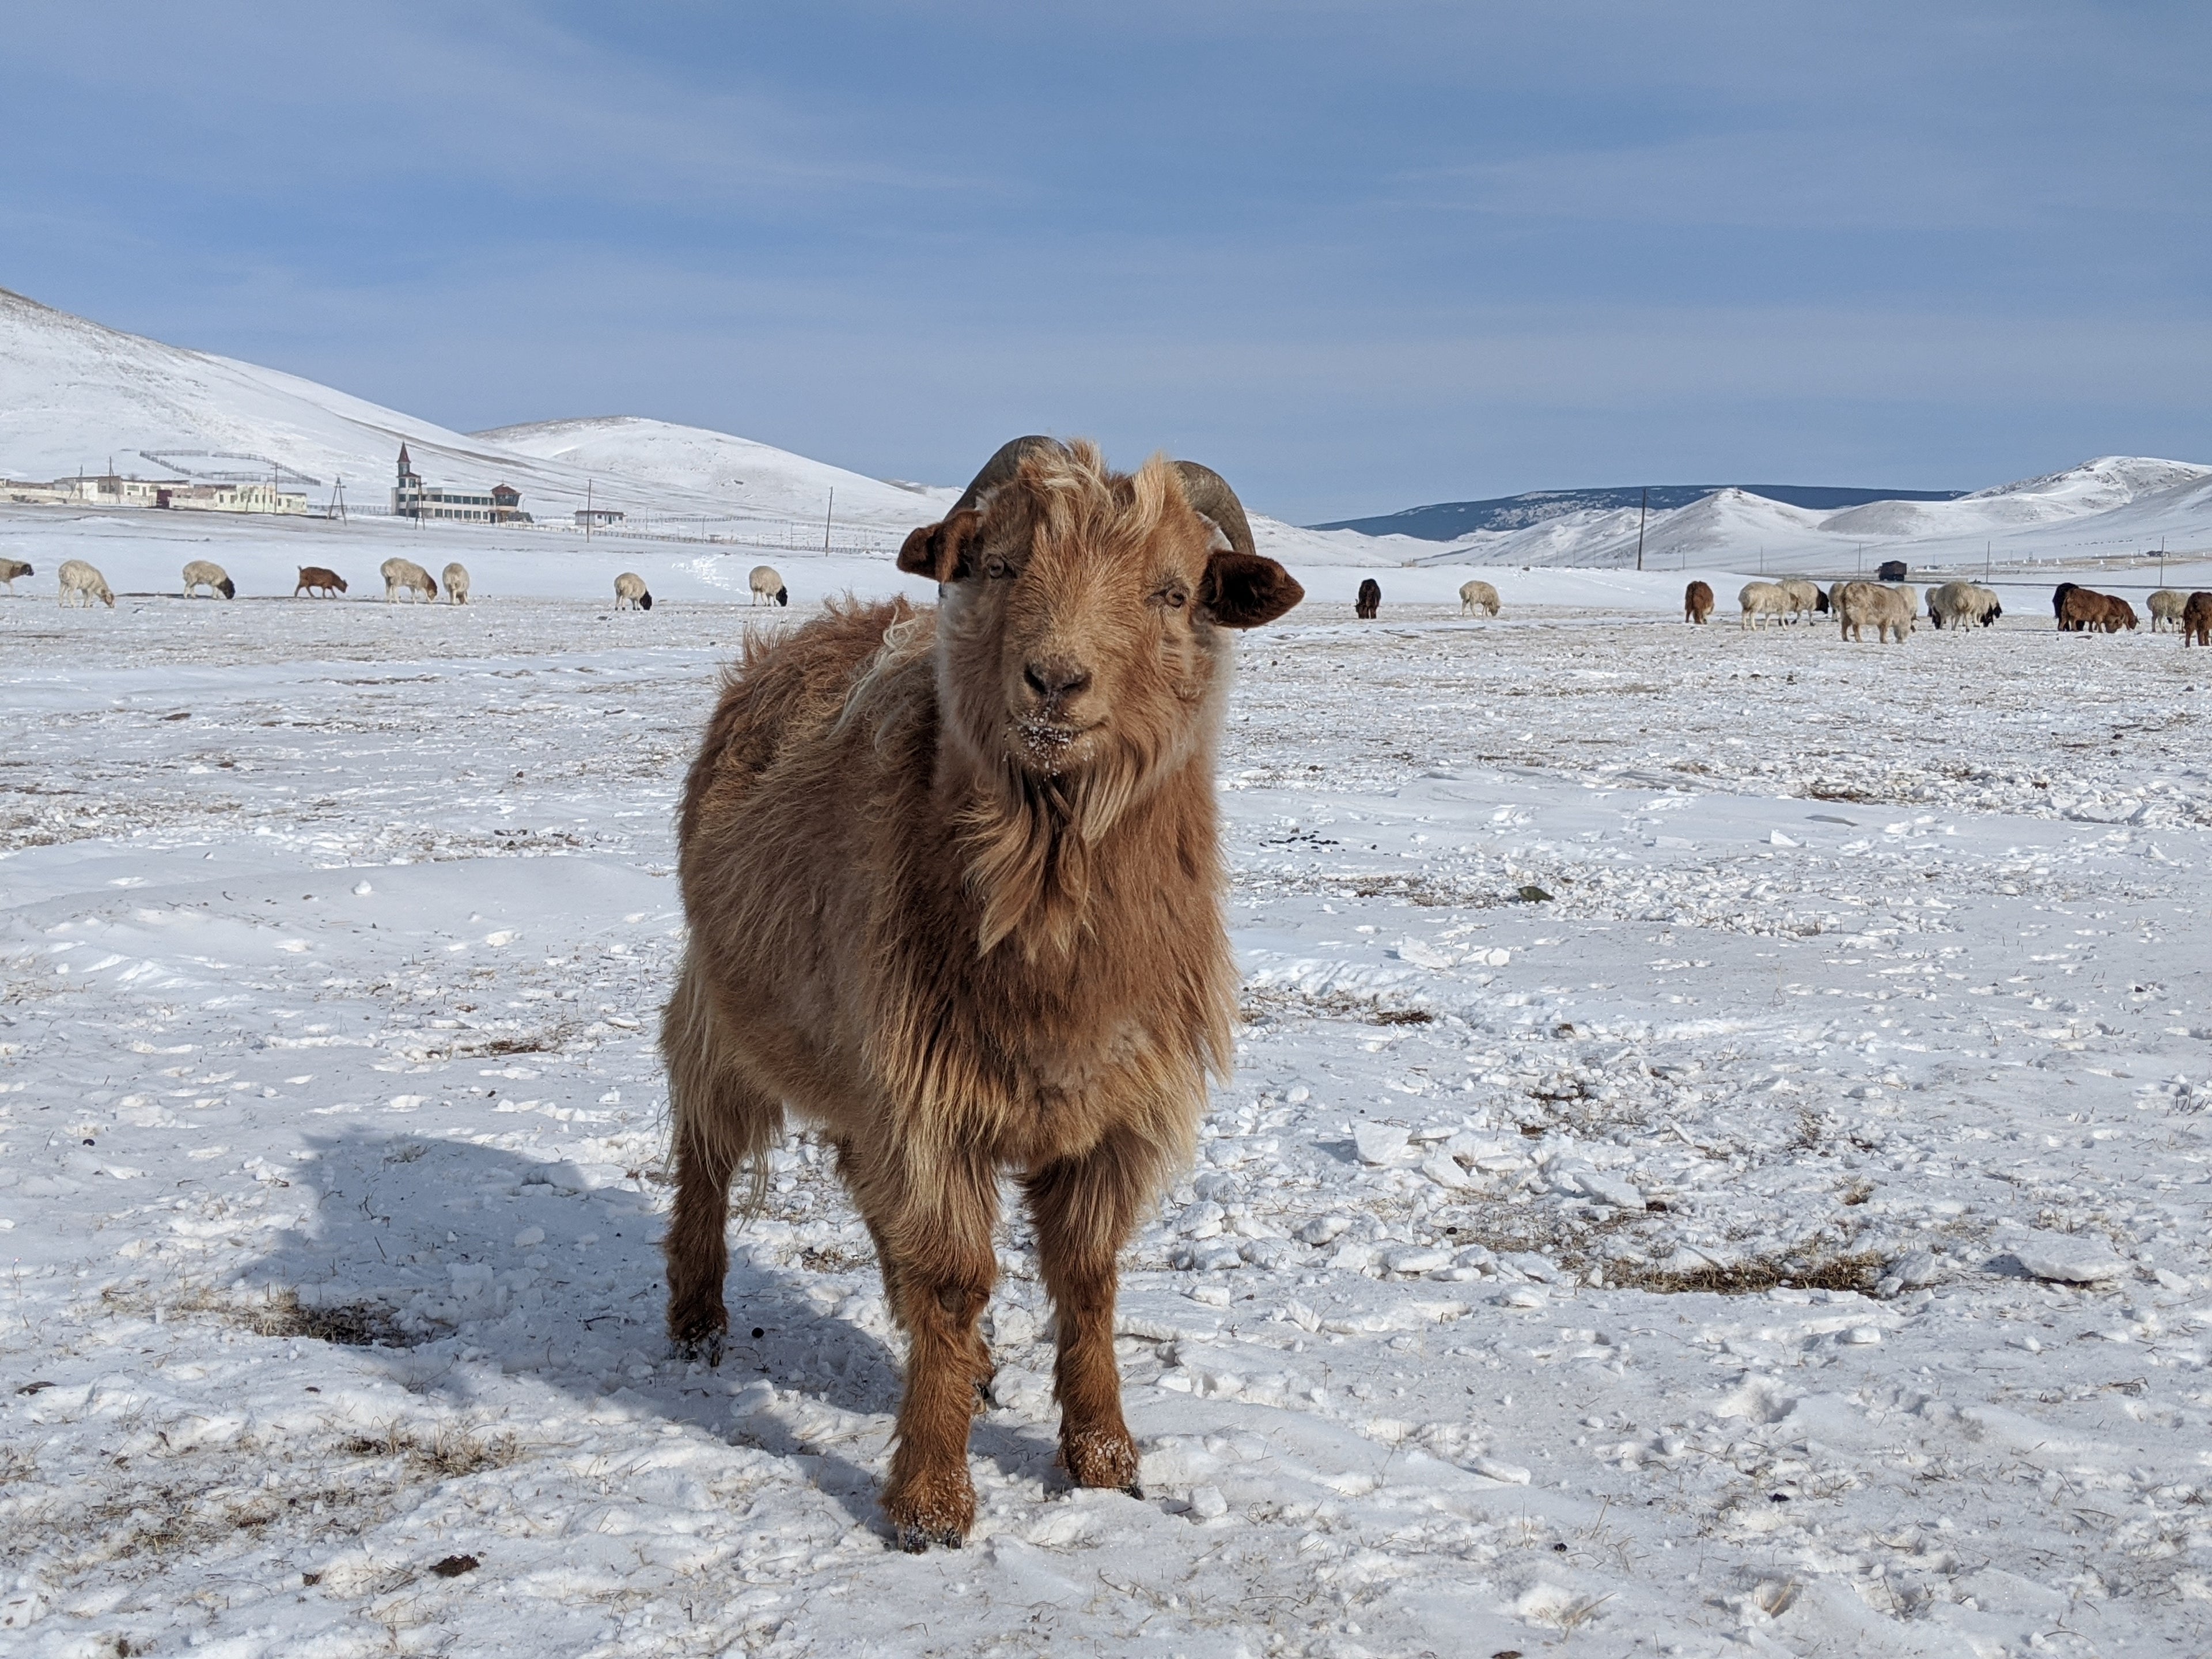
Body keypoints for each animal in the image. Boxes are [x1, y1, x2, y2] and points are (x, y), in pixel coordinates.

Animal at [664, 435, 1300, 1557]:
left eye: (1174, 592)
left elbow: (1085, 1276)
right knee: (706, 1142)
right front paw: (930, 1498)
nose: (1055, 681)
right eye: (1001, 565)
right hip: (728, 1007)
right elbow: (954, 1278)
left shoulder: (1109, 1110)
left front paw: (1105, 1457)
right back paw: (696, 1319)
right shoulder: (926, 1102)